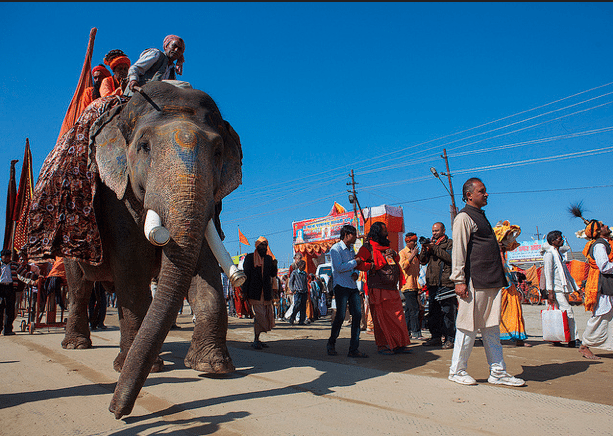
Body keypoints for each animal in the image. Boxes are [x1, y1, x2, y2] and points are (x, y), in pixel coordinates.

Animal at [58, 82, 243, 418]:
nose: (116, 411)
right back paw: (77, 346)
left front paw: (213, 367)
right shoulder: (115, 195)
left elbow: (204, 267)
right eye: (144, 146)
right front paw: (142, 368)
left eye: (218, 151)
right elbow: (132, 266)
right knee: (78, 287)